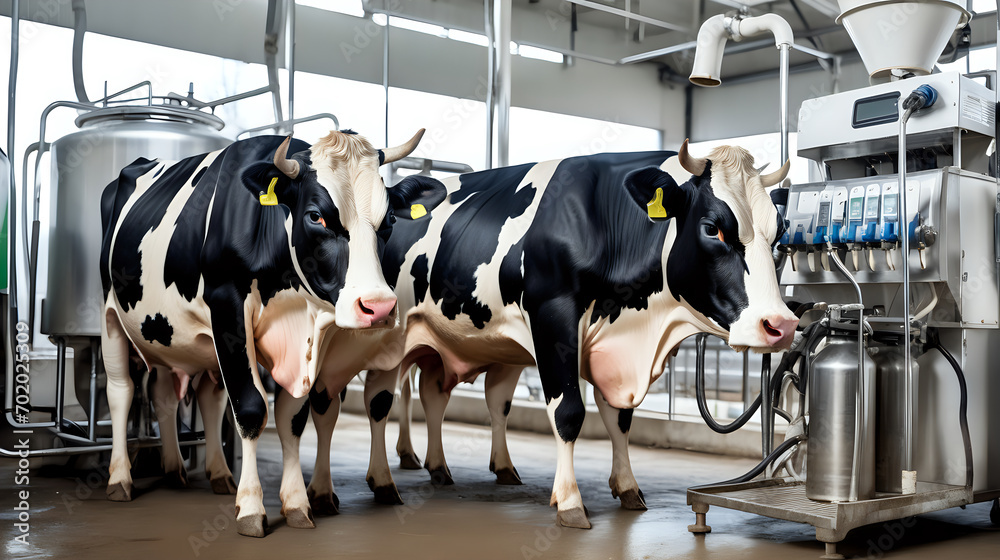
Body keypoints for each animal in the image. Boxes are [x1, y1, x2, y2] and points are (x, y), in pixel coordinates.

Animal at [99, 128, 429, 537]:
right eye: (316, 216)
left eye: (389, 220)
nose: (379, 307)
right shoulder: (227, 309)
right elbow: (252, 408)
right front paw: (252, 509)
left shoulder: (304, 343)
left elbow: (292, 419)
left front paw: (296, 504)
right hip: (111, 314)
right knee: (122, 391)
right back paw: (120, 480)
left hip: (171, 335)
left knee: (181, 395)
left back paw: (197, 472)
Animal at [277, 140, 797, 528]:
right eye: (713, 229)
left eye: (779, 232)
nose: (782, 325)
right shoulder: (553, 319)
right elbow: (568, 413)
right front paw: (569, 502)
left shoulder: (609, 347)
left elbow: (619, 419)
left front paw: (628, 487)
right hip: (353, 341)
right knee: (328, 404)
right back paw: (323, 491)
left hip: (408, 343)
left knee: (404, 399)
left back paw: (414, 475)